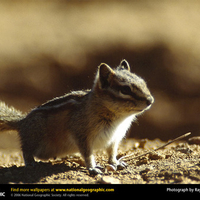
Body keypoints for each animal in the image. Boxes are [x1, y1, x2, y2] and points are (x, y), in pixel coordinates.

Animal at [0, 60, 154, 174]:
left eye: (143, 82)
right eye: (125, 89)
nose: (150, 100)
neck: (118, 118)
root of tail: (22, 122)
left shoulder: (114, 138)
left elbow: (112, 152)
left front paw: (115, 162)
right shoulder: (82, 134)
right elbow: (87, 154)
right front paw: (92, 167)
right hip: (34, 137)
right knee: (25, 149)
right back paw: (31, 163)